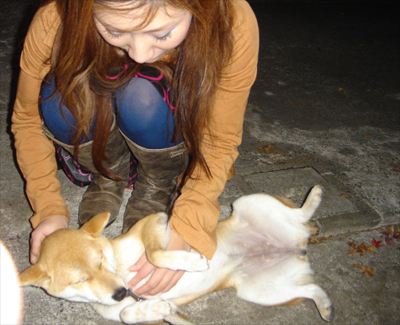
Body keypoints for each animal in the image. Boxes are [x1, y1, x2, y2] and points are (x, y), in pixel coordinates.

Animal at [19, 184, 332, 322]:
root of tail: (296, 247)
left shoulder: (156, 222)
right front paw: (155, 307)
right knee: (312, 288)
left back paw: (314, 198)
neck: (122, 272)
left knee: (300, 214)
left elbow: (156, 254)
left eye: (101, 262)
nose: (121, 293)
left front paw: (190, 261)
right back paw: (325, 306)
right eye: (79, 280)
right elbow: (130, 314)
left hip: (248, 203)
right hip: (258, 291)